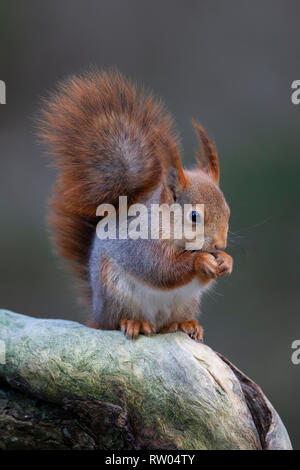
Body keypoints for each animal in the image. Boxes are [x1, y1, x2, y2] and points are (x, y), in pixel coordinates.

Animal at [39, 70, 232, 340]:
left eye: (228, 212)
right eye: (194, 216)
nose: (219, 245)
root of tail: (98, 314)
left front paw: (225, 260)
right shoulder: (142, 245)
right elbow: (161, 270)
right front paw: (201, 260)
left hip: (186, 302)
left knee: (168, 324)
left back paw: (185, 324)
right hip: (116, 294)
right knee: (120, 320)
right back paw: (135, 323)